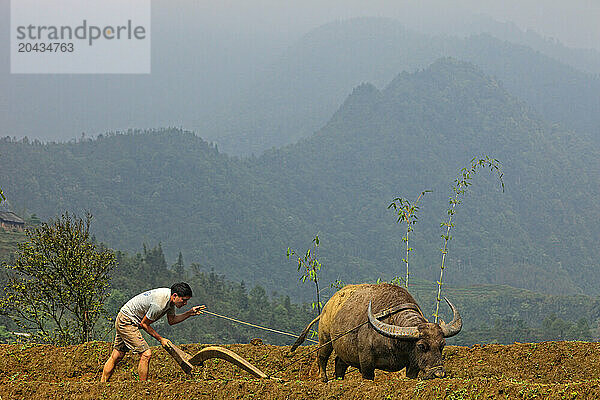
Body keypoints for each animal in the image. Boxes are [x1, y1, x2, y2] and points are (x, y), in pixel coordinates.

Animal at [288, 282, 462, 380]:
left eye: (442, 345)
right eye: (421, 346)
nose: (438, 374)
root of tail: (327, 306)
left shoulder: (413, 366)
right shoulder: (366, 364)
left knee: (339, 362)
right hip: (325, 338)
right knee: (322, 356)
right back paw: (323, 378)